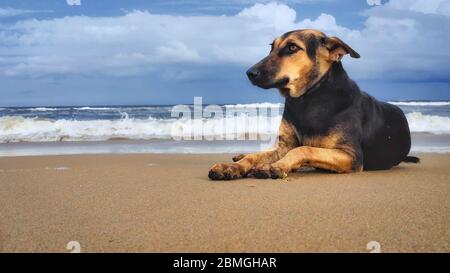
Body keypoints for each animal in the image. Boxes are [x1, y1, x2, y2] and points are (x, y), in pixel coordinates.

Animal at [207, 29, 418, 181]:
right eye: (271, 47)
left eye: (292, 47)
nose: (250, 73)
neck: (308, 99)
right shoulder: (284, 146)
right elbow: (257, 156)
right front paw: (233, 167)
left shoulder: (351, 156)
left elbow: (303, 149)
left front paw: (275, 166)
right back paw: (240, 156)